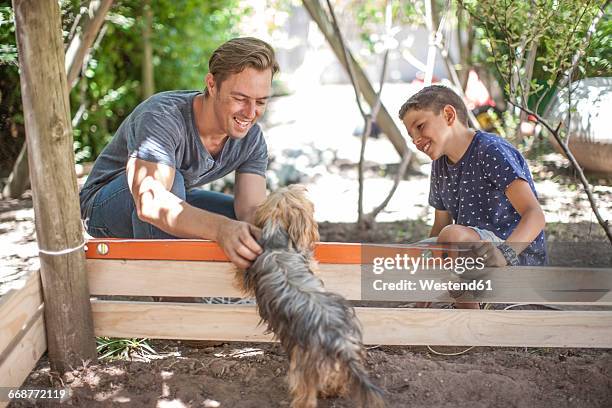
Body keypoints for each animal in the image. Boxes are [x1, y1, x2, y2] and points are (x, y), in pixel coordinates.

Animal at [237, 185, 384, 408]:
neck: (277, 237)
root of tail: (337, 337)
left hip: (302, 360)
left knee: (305, 392)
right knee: (337, 377)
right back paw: (332, 391)